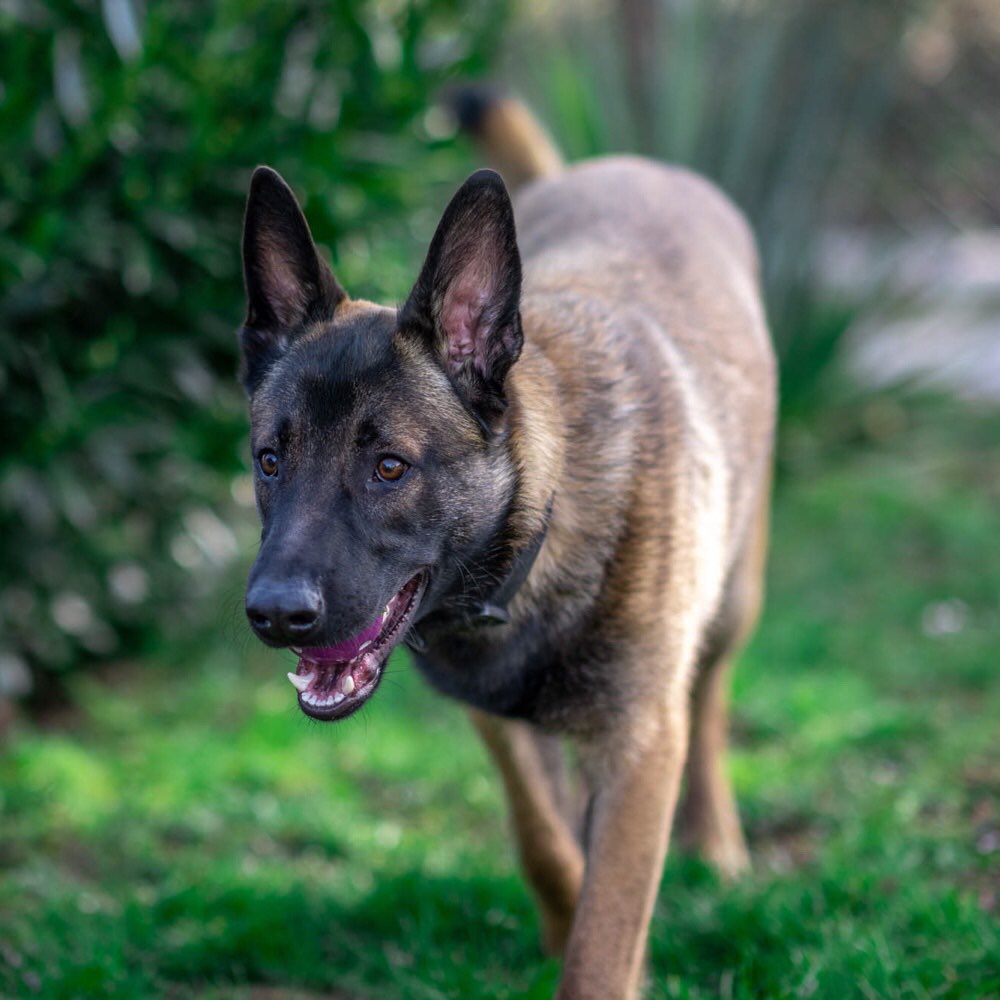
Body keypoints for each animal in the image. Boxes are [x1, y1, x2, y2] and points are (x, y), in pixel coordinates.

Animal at [238, 90, 776, 996]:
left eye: (390, 467)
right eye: (270, 460)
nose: (274, 615)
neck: (544, 522)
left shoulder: (641, 745)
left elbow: (605, 933)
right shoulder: (498, 720)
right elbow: (544, 844)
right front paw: (565, 919)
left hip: (734, 599)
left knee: (710, 696)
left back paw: (717, 839)